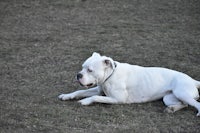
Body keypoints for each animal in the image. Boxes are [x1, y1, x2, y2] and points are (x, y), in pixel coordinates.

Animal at [58, 52, 200, 116]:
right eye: (82, 67)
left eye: (90, 70)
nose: (78, 75)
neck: (110, 75)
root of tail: (192, 79)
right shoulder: (98, 90)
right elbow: (80, 91)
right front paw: (67, 96)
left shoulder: (117, 99)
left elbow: (94, 97)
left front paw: (85, 101)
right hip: (168, 97)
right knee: (185, 104)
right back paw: (172, 109)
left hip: (181, 92)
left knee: (195, 103)